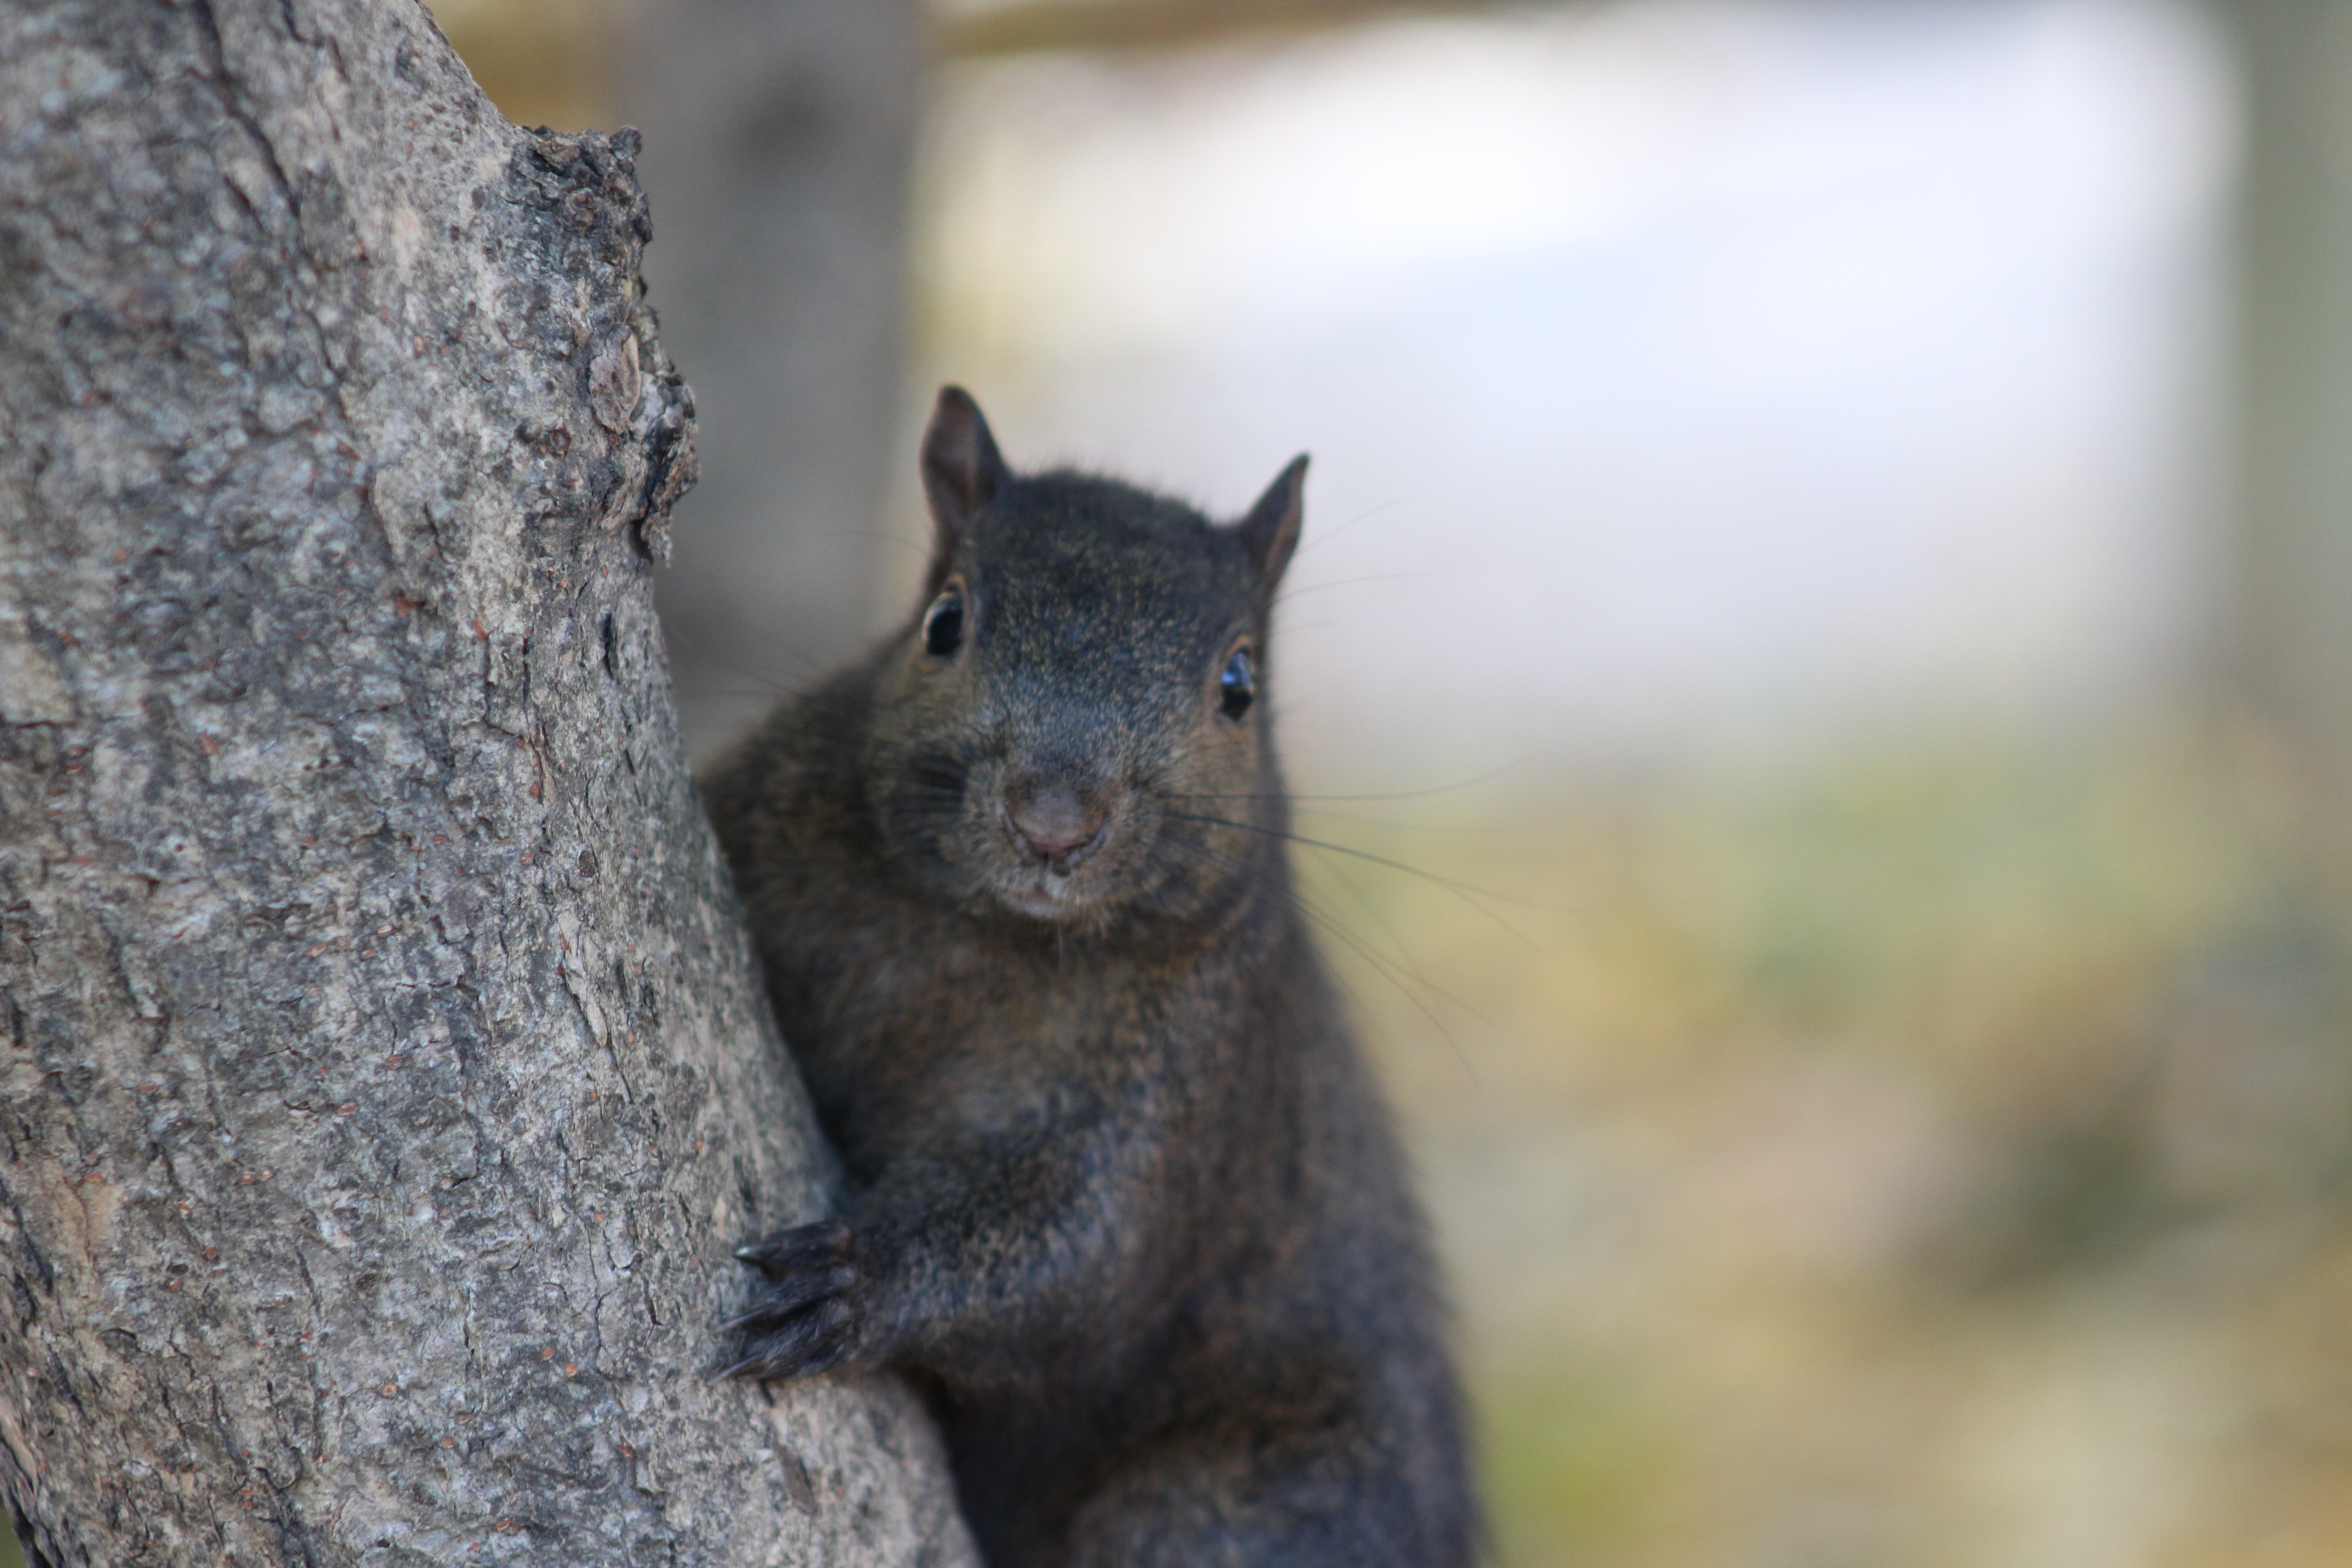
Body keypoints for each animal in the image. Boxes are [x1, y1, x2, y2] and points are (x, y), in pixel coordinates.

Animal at [697, 387, 1479, 1568]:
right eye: (944, 623)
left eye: (1239, 686)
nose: (1054, 823)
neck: (987, 938)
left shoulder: (1191, 1076)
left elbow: (1076, 1253)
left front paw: (856, 1276)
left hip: (1244, 1505)